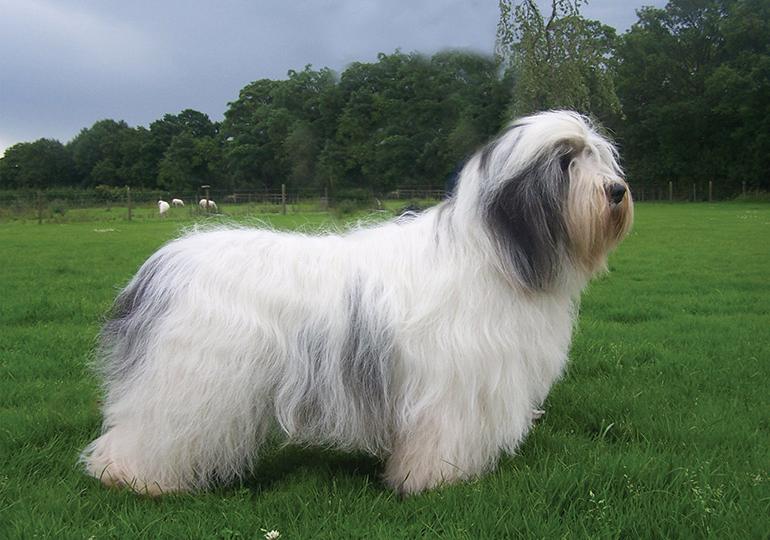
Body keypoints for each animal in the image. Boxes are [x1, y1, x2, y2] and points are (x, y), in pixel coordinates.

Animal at [79, 108, 632, 494]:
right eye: (566, 161)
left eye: (600, 156)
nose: (618, 191)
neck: (493, 254)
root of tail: (162, 263)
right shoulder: (452, 386)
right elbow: (443, 437)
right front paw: (434, 480)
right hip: (189, 381)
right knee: (150, 433)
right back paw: (132, 477)